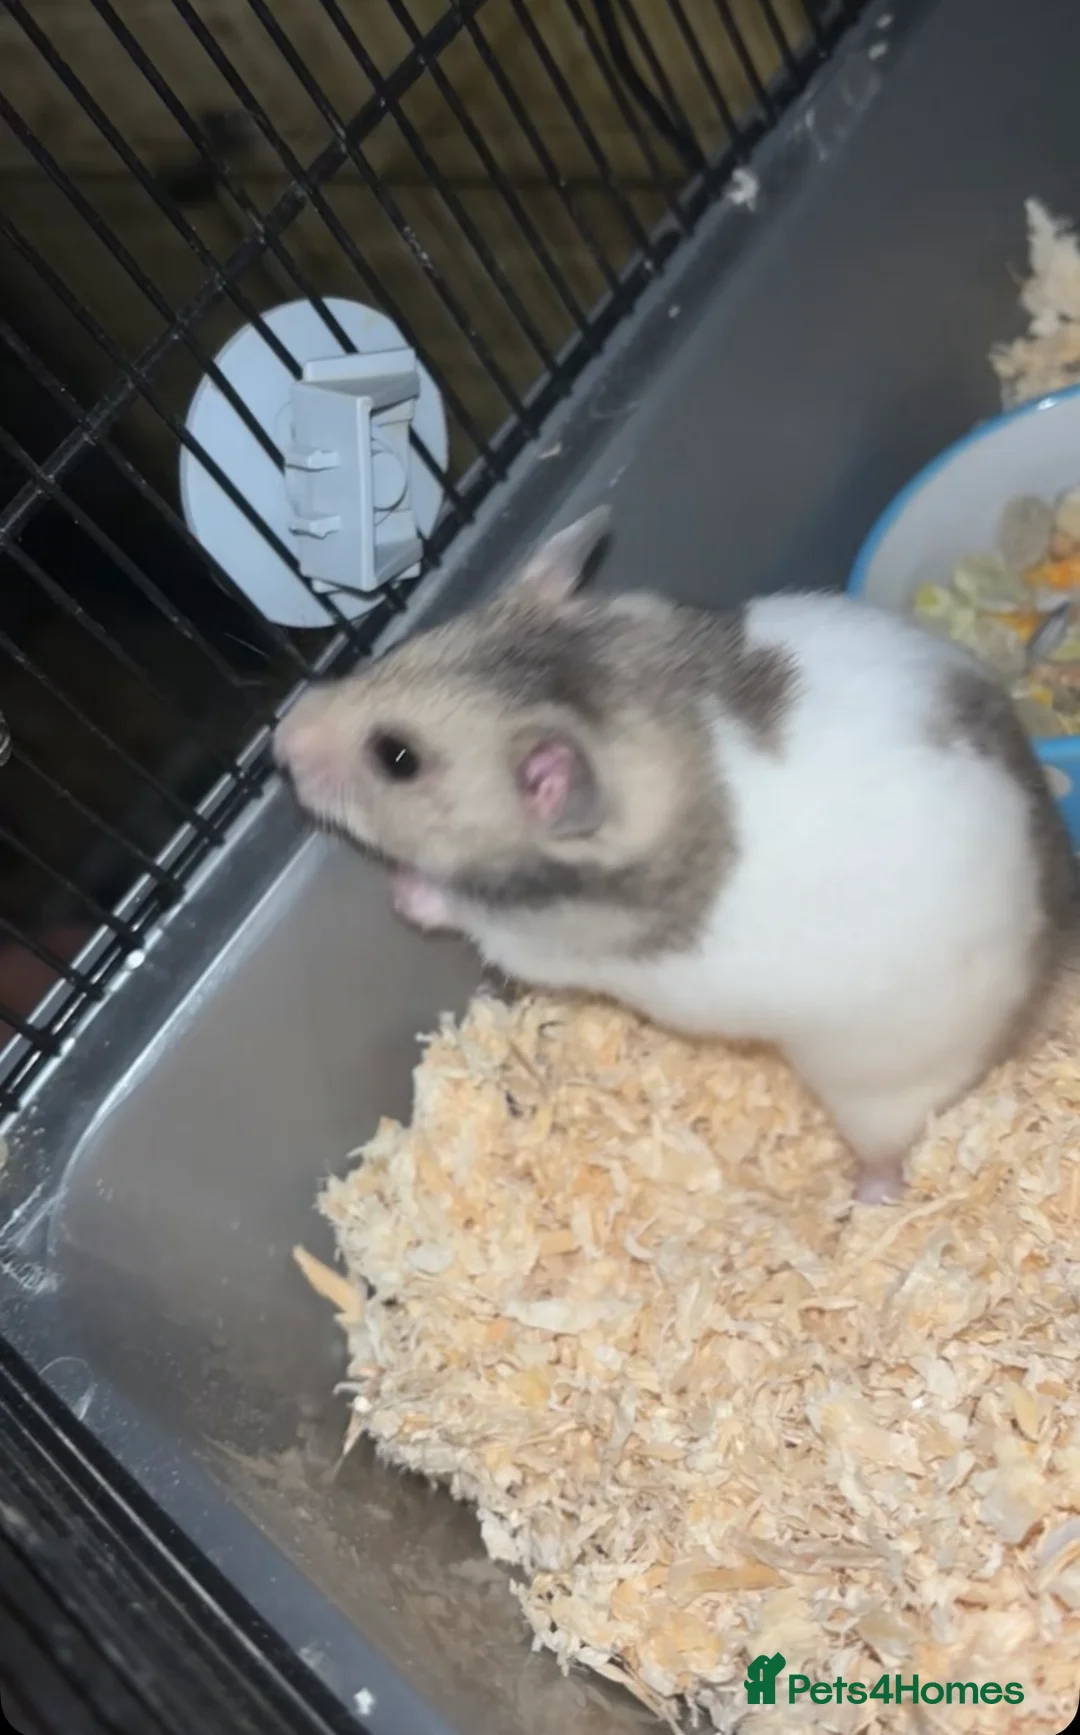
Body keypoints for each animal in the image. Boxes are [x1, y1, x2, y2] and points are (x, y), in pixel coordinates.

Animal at [274, 507, 1078, 1203]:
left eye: (397, 758)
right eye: (405, 650)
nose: (280, 736)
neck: (646, 713)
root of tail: (1046, 967)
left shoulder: (547, 943)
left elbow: (471, 915)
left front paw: (408, 890)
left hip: (882, 1084)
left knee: (892, 1142)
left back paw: (866, 1199)